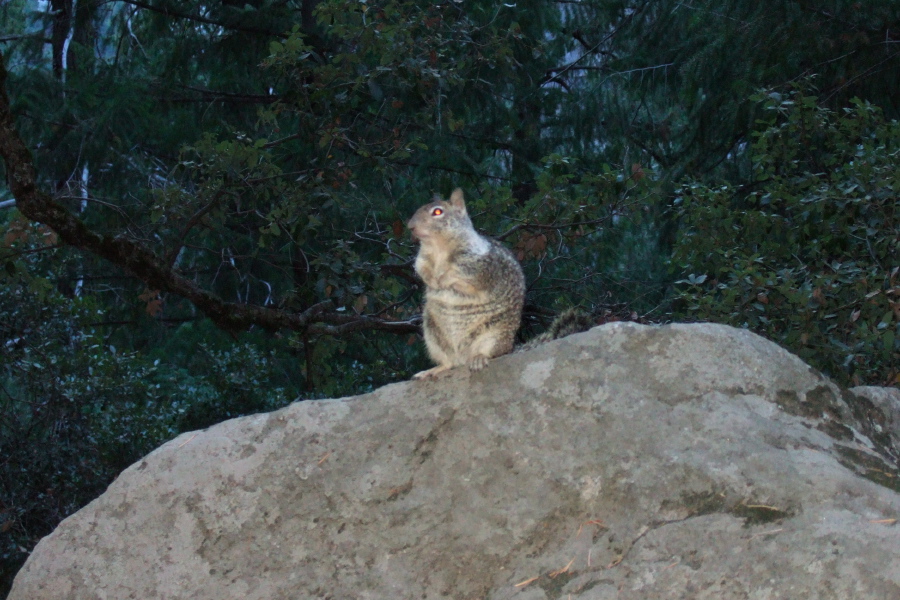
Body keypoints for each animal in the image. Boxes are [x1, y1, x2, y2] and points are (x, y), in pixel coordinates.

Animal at [410, 188, 528, 378]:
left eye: (438, 212)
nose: (410, 226)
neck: (438, 247)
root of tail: (462, 358)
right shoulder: (423, 259)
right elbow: (422, 269)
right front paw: (432, 282)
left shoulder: (478, 264)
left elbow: (462, 276)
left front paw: (444, 279)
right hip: (433, 335)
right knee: (448, 362)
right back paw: (432, 370)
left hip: (495, 333)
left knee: (491, 351)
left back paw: (479, 358)